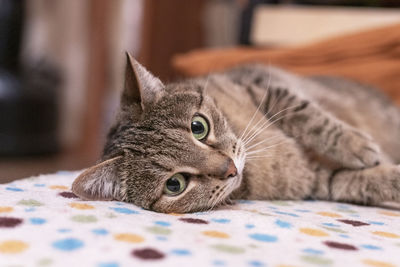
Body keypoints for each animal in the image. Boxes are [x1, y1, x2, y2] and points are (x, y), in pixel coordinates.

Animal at [70, 54, 400, 214]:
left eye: (198, 127)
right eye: (175, 184)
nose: (230, 169)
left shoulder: (263, 88)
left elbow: (308, 116)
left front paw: (357, 145)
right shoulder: (318, 180)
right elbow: (360, 182)